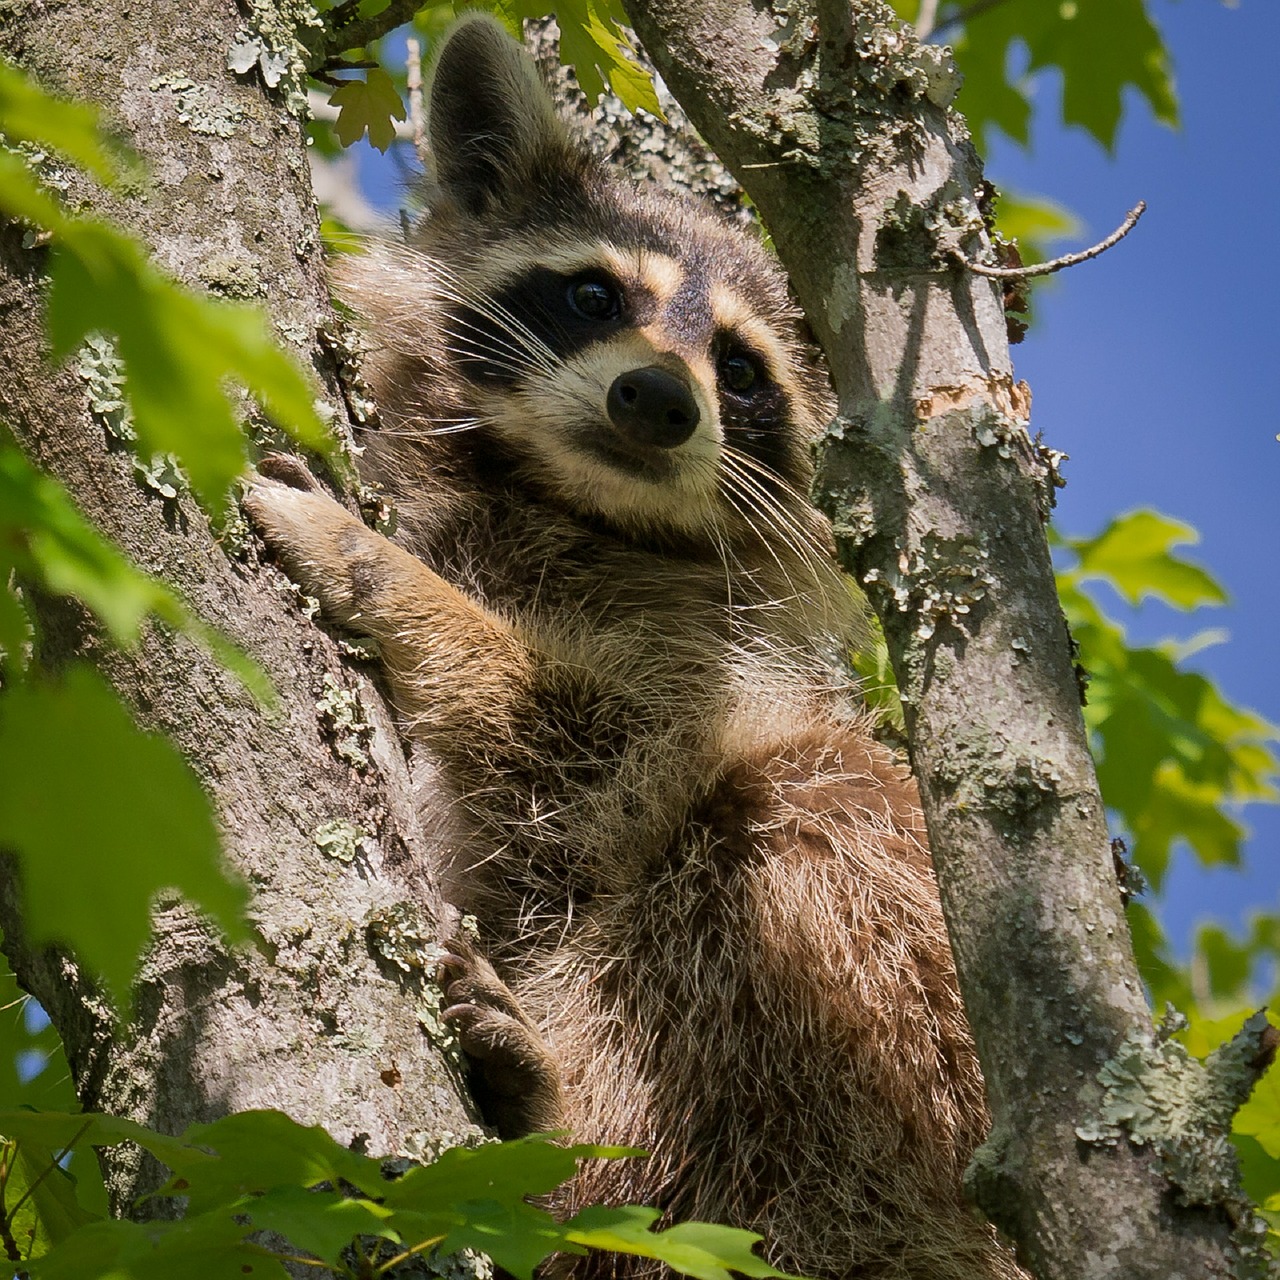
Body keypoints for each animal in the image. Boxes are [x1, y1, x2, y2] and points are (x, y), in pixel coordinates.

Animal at [247, 17, 1029, 1280]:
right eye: (589, 293)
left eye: (741, 368)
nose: (659, 398)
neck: (565, 495)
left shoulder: (708, 664)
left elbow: (592, 732)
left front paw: (395, 583)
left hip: (924, 1076)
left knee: (794, 814)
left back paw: (558, 1120)